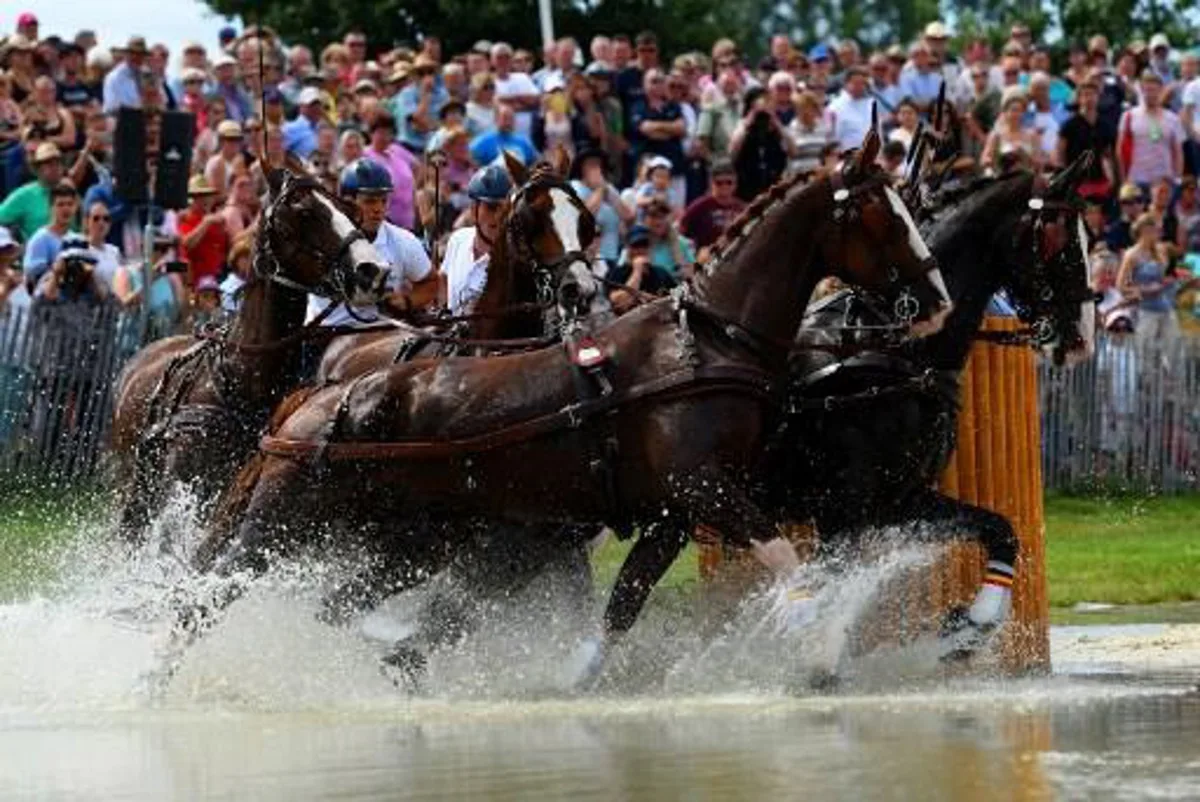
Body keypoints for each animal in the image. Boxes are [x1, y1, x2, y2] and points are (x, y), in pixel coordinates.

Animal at [111, 164, 386, 545]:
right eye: (304, 212)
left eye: (349, 209)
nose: (372, 270)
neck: (241, 375)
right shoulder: (181, 485)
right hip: (132, 483)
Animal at [194, 130, 945, 677]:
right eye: (882, 215)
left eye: (583, 219)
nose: (935, 299)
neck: (703, 341)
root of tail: (314, 401)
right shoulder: (701, 485)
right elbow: (791, 563)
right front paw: (820, 645)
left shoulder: (671, 513)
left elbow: (624, 602)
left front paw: (581, 674)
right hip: (280, 527)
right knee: (202, 599)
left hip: (406, 542)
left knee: (336, 605)